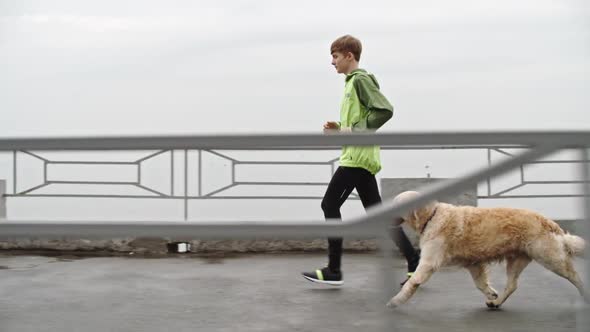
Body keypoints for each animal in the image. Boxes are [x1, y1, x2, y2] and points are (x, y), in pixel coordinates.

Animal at [388, 191, 588, 310]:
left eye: (396, 203)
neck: (432, 216)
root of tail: (549, 221)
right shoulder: (473, 263)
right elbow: (479, 283)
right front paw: (491, 293)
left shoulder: (429, 262)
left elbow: (412, 282)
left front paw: (396, 300)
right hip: (517, 260)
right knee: (512, 285)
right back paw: (496, 302)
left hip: (550, 258)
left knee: (575, 275)